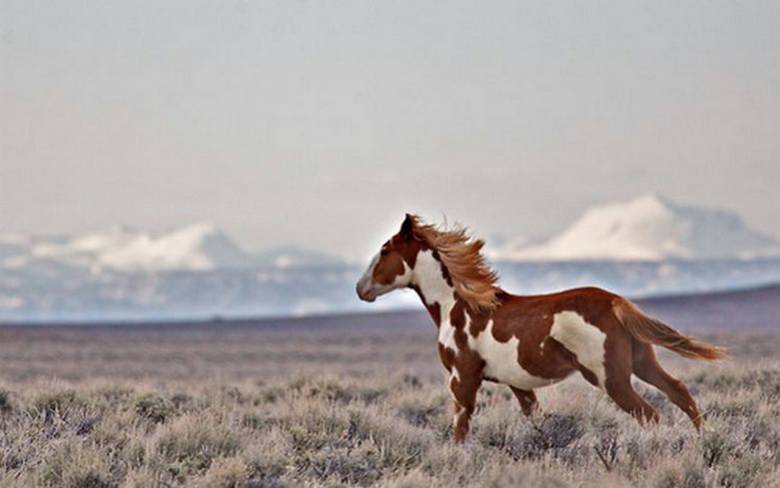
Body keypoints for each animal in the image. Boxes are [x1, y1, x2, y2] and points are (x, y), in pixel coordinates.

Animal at [356, 215, 728, 444]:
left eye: (385, 250)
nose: (361, 289)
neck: (458, 306)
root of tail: (616, 302)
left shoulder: (462, 379)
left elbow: (460, 428)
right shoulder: (518, 384)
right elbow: (536, 421)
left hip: (611, 378)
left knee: (650, 414)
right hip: (642, 362)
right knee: (679, 392)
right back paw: (704, 440)